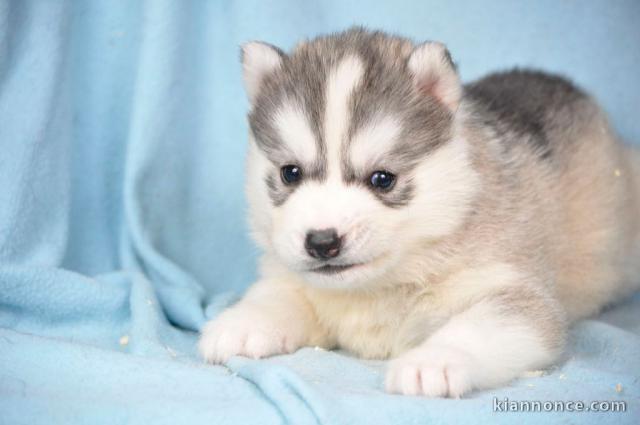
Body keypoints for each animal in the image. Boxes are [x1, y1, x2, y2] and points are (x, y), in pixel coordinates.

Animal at [200, 28, 640, 396]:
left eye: (382, 179)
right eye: (290, 173)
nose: (322, 242)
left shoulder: (515, 292)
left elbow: (478, 328)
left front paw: (433, 362)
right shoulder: (292, 276)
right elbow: (278, 295)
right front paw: (240, 322)